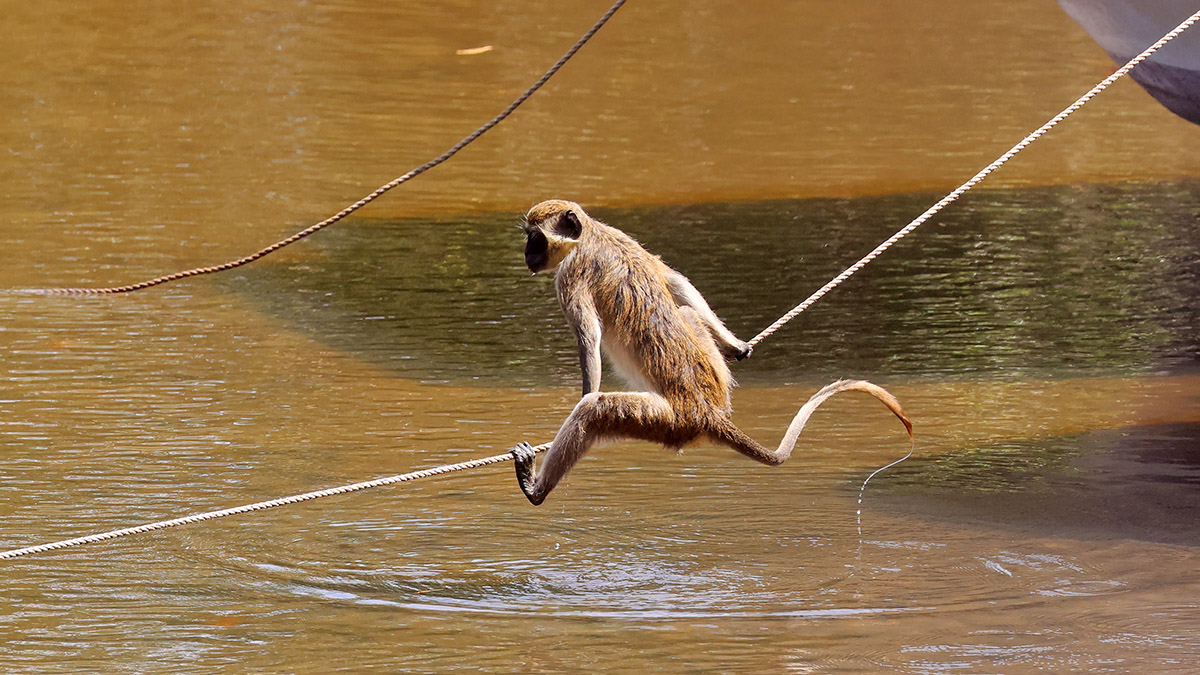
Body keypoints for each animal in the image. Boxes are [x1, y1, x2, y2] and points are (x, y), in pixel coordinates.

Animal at [511, 199, 912, 505]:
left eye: (536, 238)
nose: (528, 253)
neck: (594, 235)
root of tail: (709, 413)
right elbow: (674, 280)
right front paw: (737, 345)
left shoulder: (570, 274)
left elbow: (589, 340)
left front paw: (585, 389)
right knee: (688, 312)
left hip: (668, 420)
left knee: (595, 410)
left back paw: (536, 489)